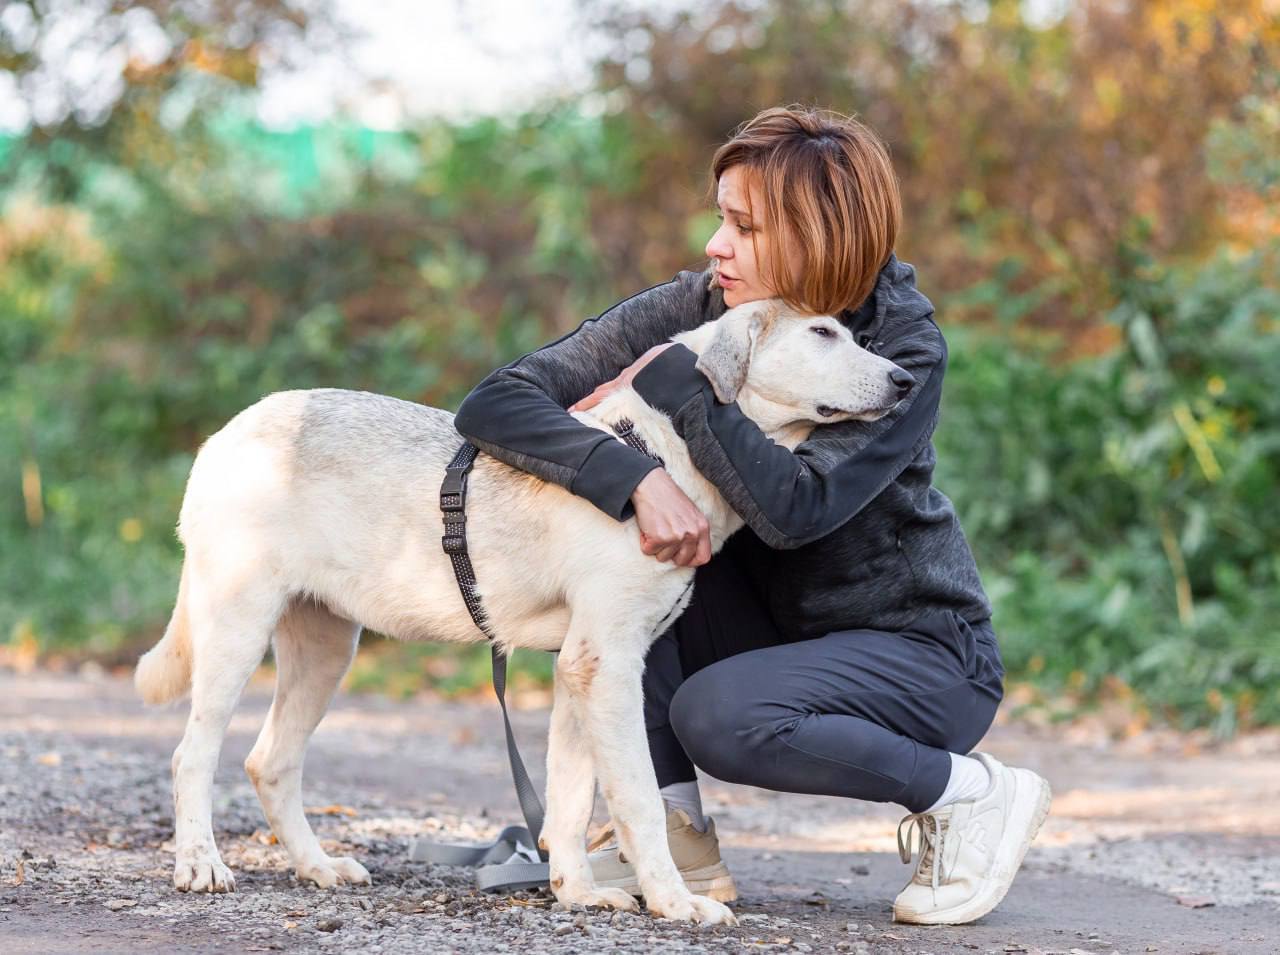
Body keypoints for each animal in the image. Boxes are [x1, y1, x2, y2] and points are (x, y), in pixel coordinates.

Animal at [135, 296, 906, 921]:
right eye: (823, 333)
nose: (904, 381)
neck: (665, 453)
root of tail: (226, 435)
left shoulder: (578, 671)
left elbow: (569, 800)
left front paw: (578, 892)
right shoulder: (608, 665)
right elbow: (637, 798)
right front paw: (675, 903)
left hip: (326, 649)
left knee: (269, 761)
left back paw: (317, 865)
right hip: (237, 630)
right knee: (190, 755)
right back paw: (201, 864)